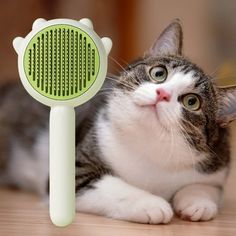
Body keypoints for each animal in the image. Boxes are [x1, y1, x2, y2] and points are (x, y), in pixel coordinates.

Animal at [0, 19, 236, 224]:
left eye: (192, 101)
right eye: (159, 73)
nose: (162, 94)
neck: (150, 148)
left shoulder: (217, 164)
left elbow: (209, 188)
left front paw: (198, 202)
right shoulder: (77, 169)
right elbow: (113, 186)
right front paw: (151, 204)